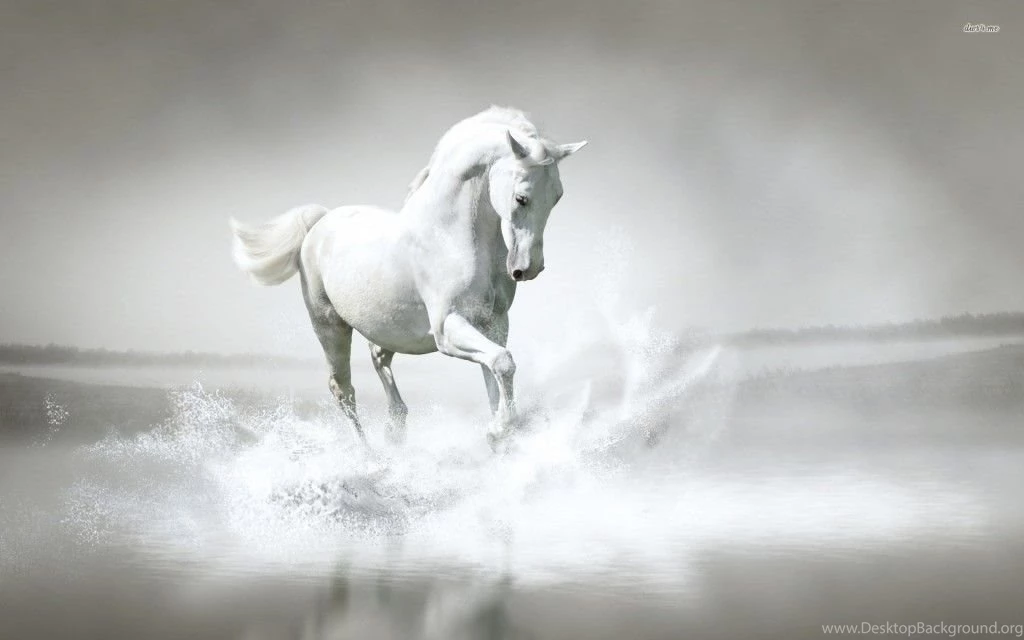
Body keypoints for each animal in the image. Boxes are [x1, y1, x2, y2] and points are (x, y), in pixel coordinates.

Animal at [230, 106, 586, 448]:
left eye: (557, 196)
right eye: (521, 198)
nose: (529, 268)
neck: (449, 237)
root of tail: (319, 223)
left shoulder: (494, 324)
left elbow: (495, 374)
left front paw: (502, 435)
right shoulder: (447, 328)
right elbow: (502, 362)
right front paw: (499, 432)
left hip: (388, 328)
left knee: (378, 358)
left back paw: (395, 428)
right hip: (329, 326)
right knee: (343, 390)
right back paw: (369, 454)